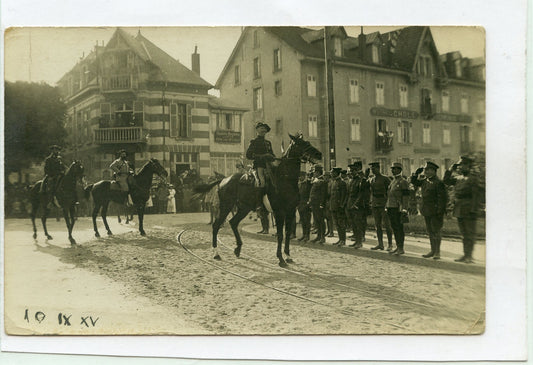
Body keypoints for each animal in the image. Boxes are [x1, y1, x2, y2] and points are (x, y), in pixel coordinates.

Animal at [193, 132, 322, 266]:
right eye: (301, 144)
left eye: (308, 142)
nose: (319, 154)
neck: (284, 179)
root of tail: (224, 179)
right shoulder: (279, 212)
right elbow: (280, 234)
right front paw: (280, 259)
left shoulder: (290, 211)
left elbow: (287, 233)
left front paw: (287, 255)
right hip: (226, 206)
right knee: (216, 225)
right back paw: (216, 253)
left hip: (244, 208)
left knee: (233, 222)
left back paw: (238, 249)